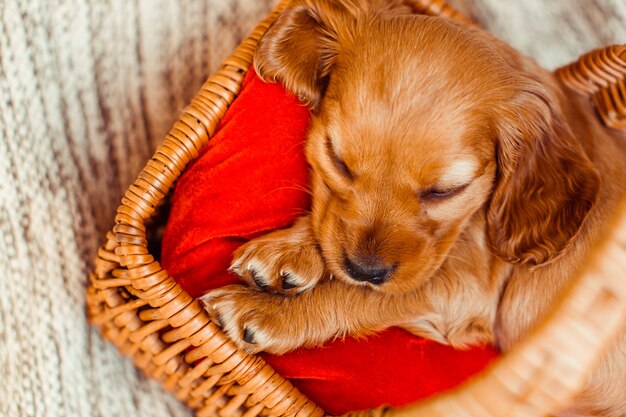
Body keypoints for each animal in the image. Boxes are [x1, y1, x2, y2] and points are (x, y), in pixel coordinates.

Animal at [201, 1, 624, 414]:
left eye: (444, 191)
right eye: (338, 160)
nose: (364, 270)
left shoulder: (467, 292)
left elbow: (365, 296)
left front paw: (266, 312)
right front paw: (288, 251)